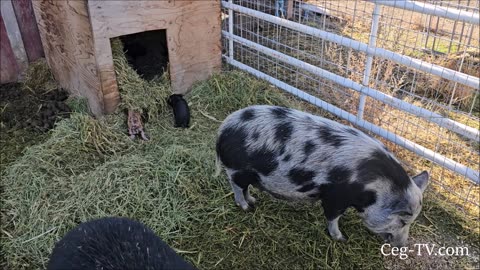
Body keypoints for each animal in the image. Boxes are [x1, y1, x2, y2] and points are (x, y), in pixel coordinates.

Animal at [216, 105, 430, 247]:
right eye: (403, 221)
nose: (403, 246)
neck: (373, 186)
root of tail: (224, 128)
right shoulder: (336, 196)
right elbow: (332, 216)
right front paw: (341, 238)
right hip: (238, 170)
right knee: (236, 186)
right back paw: (245, 207)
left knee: (246, 188)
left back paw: (254, 201)